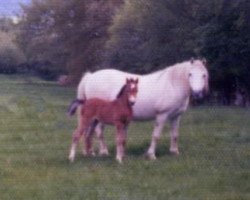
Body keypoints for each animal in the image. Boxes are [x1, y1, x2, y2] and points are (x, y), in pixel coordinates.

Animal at [68, 57, 209, 159]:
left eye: (204, 75)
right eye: (190, 74)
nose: (197, 94)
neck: (173, 84)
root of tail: (91, 77)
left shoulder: (176, 116)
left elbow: (175, 135)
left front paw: (174, 152)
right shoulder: (162, 115)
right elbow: (156, 135)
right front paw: (151, 155)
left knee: (89, 133)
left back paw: (90, 152)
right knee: (98, 132)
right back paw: (104, 151)